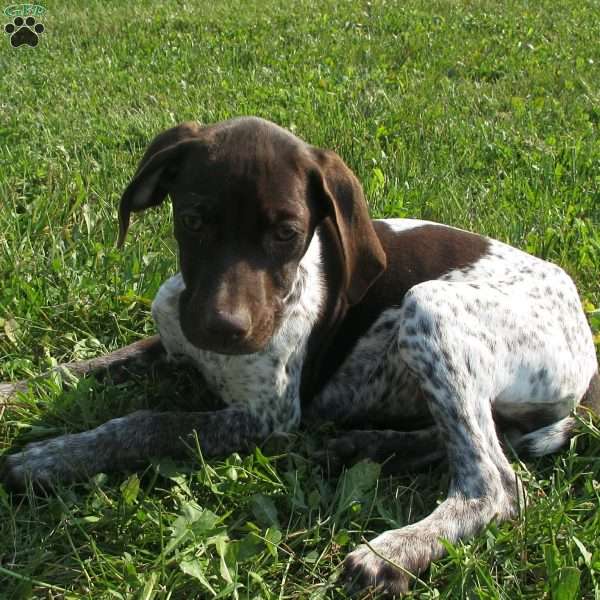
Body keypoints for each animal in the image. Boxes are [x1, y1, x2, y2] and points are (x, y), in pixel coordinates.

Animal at [2, 117, 596, 596]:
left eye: (287, 234)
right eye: (194, 221)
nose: (223, 329)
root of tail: (589, 358)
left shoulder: (267, 418)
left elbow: (146, 422)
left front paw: (51, 458)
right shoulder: (170, 343)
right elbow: (73, 370)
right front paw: (14, 393)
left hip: (430, 307)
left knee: (494, 483)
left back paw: (394, 551)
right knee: (475, 438)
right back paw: (362, 446)